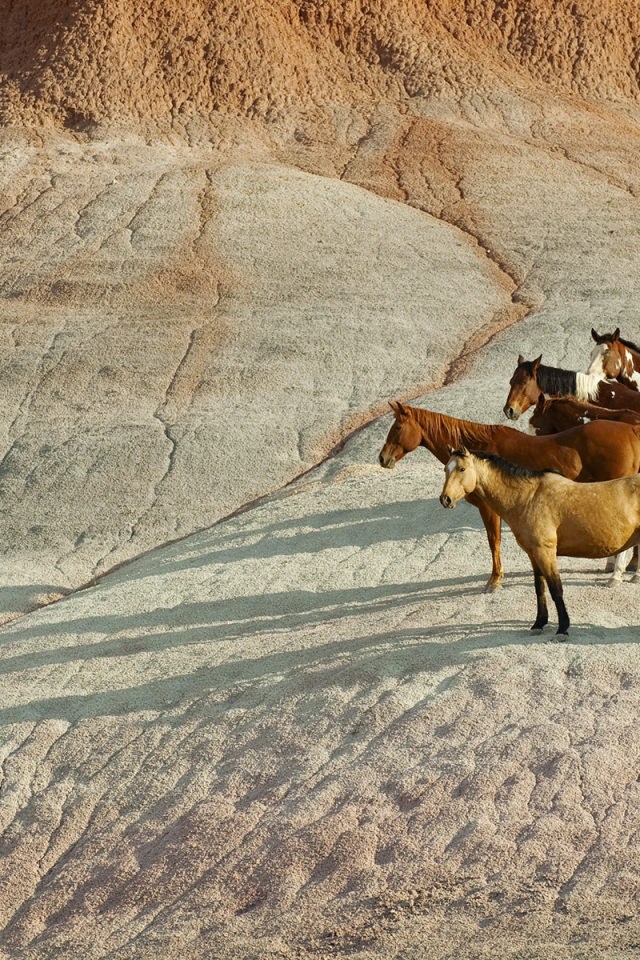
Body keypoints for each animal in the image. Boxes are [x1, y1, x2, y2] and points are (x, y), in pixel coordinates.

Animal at [380, 400, 640, 592]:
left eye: (398, 428)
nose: (382, 458)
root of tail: (630, 429)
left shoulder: (489, 509)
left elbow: (493, 541)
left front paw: (495, 580)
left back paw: (617, 574)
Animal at [440, 448, 640, 636]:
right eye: (445, 469)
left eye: (462, 468)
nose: (445, 499)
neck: (529, 498)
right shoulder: (533, 554)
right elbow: (540, 588)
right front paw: (539, 623)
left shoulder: (546, 552)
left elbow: (556, 589)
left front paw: (562, 628)